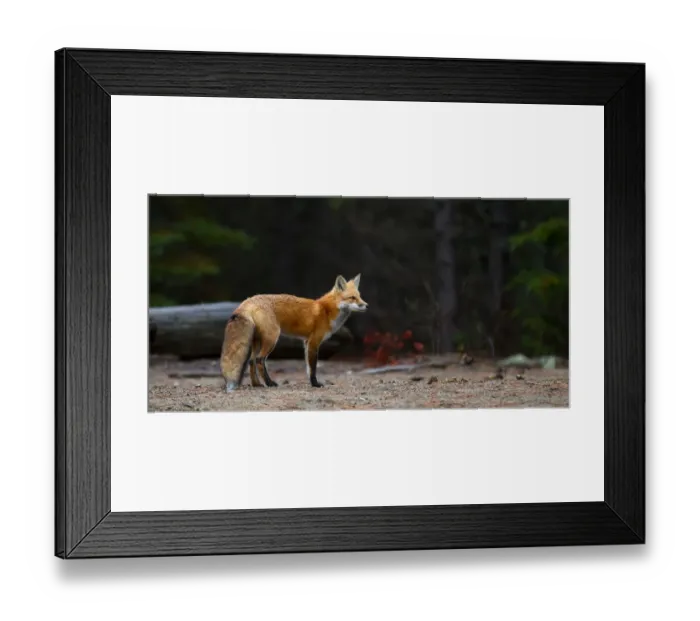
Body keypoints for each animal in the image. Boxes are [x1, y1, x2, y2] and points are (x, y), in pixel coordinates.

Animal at [221, 274, 368, 392]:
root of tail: (248, 300)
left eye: (360, 297)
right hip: (272, 339)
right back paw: (270, 383)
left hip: (257, 341)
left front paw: (312, 383)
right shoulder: (314, 342)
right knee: (259, 360)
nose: (366, 305)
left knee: (251, 361)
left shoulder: (306, 342)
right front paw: (315, 384)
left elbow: (308, 367)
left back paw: (256, 384)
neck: (326, 311)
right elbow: (313, 367)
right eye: (352, 298)